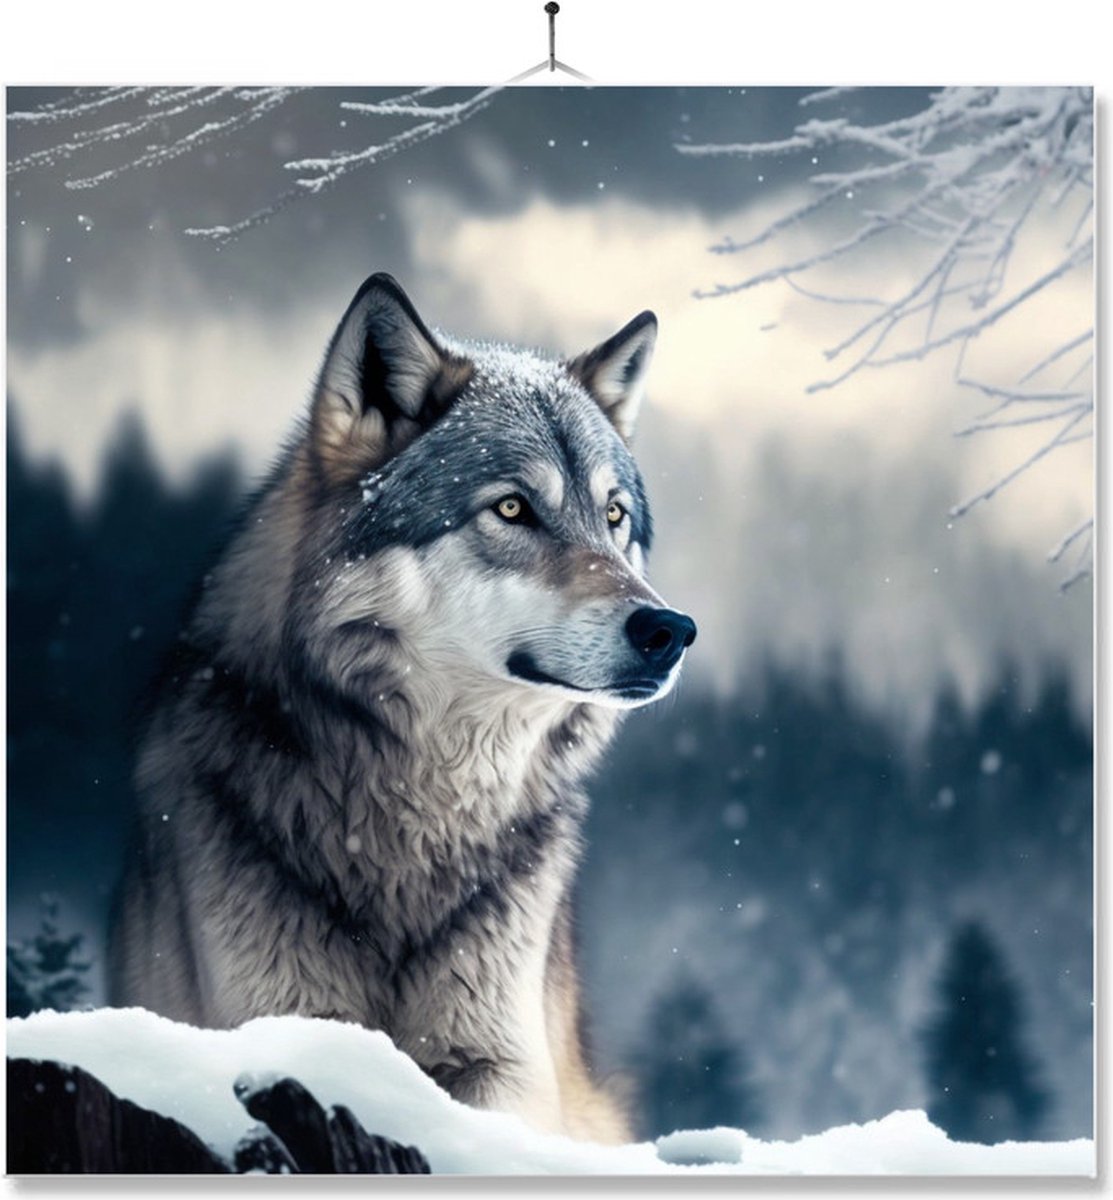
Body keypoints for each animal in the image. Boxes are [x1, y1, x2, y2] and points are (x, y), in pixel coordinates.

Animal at [109, 273, 696, 1143]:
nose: (670, 630)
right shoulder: (277, 1021)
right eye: (513, 509)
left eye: (614, 516)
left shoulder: (501, 1062)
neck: (418, 821)